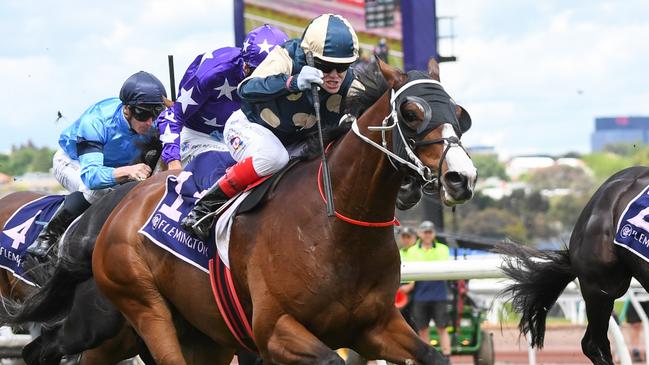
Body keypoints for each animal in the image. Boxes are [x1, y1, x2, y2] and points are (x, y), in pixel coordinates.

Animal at [90, 58, 476, 362]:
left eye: (460, 114)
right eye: (411, 114)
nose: (462, 178)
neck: (335, 229)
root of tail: (126, 199)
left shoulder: (376, 326)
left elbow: (433, 356)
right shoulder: (274, 329)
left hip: (200, 336)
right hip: (145, 306)